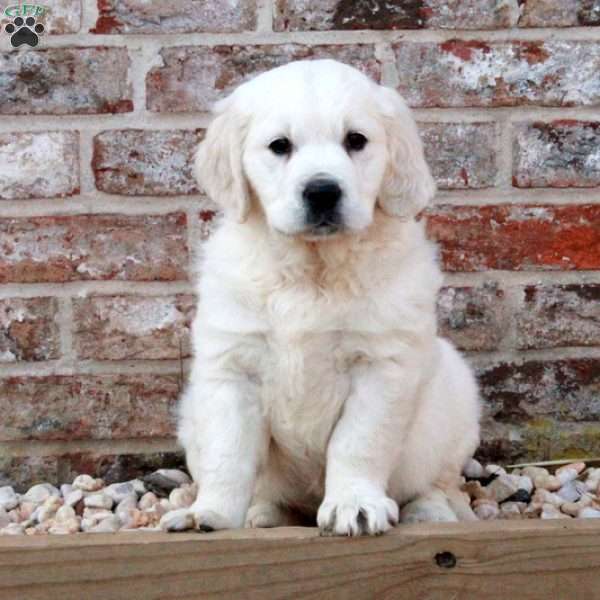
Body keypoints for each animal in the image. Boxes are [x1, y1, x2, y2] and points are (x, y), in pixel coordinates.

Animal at [173, 59, 478, 536]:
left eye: (356, 140)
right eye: (280, 146)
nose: (322, 191)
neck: (313, 270)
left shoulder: (382, 365)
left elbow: (358, 442)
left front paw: (354, 504)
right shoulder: (232, 367)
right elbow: (228, 451)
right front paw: (212, 514)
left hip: (456, 398)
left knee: (439, 481)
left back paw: (431, 511)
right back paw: (263, 514)